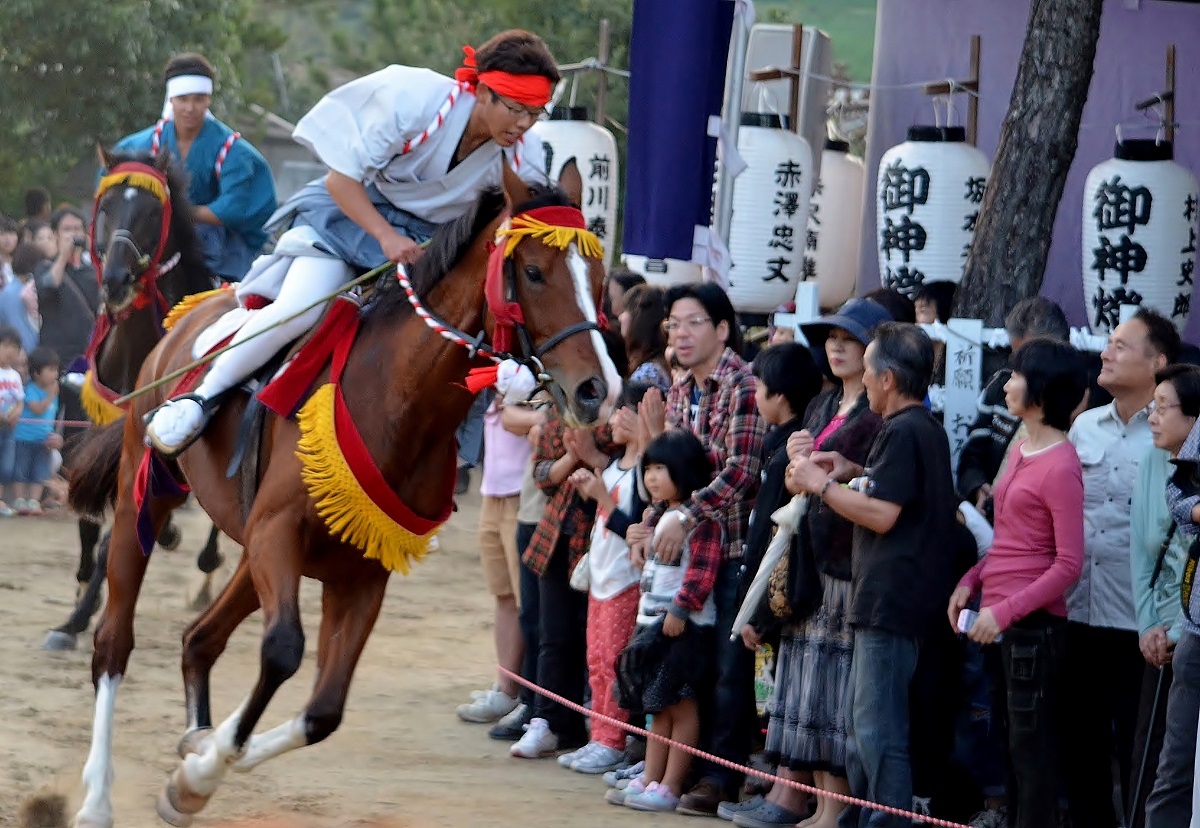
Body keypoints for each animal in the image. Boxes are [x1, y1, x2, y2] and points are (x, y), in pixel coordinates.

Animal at [42, 150, 228, 652]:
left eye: (149, 212)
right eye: (106, 207)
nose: (116, 279)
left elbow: (114, 536)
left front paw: (79, 618)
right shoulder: (90, 433)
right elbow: (87, 520)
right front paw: (75, 607)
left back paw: (203, 571)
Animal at [68, 163, 619, 825]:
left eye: (600, 278)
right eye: (534, 272)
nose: (595, 389)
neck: (397, 399)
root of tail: (186, 321)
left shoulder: (359, 568)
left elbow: (323, 711)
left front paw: (197, 772)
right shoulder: (278, 531)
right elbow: (283, 651)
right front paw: (202, 771)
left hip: (254, 546)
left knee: (200, 639)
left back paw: (196, 737)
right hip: (145, 491)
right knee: (114, 640)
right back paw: (96, 796)